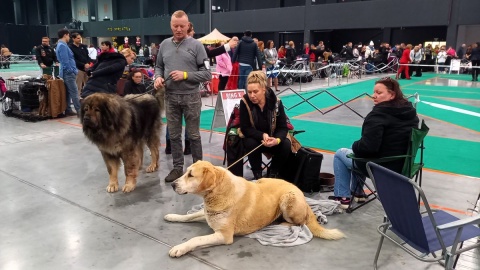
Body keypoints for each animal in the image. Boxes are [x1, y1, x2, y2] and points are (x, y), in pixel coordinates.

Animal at [165, 160, 344, 258]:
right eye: (186, 172)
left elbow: (196, 239)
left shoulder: (224, 236)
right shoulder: (207, 214)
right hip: (263, 180)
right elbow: (188, 216)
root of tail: (299, 191)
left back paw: (281, 223)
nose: (172, 184)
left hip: (288, 199)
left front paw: (179, 248)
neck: (217, 192)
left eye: (191, 175)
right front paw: (172, 216)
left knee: (300, 222)